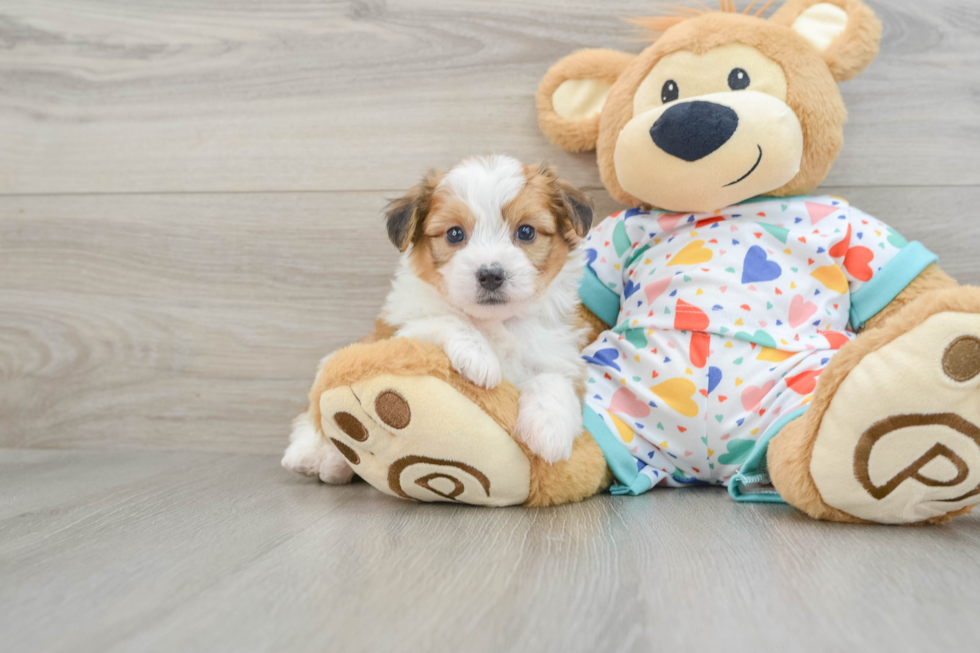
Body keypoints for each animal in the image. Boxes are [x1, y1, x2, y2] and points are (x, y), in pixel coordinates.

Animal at [280, 152, 592, 478]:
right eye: (455, 234)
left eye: (526, 231)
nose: (491, 275)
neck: (495, 321)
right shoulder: (396, 334)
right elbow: (446, 319)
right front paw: (478, 356)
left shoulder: (558, 353)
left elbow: (555, 380)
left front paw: (549, 430)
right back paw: (318, 455)